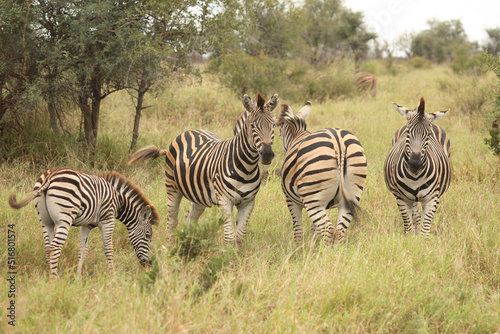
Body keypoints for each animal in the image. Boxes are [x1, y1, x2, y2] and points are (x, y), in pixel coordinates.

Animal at [8, 167, 159, 276]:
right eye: (148, 235)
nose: (150, 264)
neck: (119, 201)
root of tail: (50, 174)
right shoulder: (108, 219)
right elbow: (108, 248)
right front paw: (113, 276)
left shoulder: (87, 225)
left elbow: (83, 250)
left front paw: (78, 276)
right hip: (64, 219)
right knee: (55, 248)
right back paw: (54, 280)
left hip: (45, 221)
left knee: (48, 248)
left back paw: (48, 276)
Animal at [129, 92, 278, 244]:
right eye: (252, 126)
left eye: (274, 125)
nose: (267, 154)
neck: (247, 168)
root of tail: (189, 130)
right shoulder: (225, 200)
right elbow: (229, 236)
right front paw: (228, 251)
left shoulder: (248, 202)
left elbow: (239, 236)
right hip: (172, 187)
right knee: (172, 221)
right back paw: (170, 245)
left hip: (199, 194)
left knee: (190, 217)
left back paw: (189, 242)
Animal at [278, 100, 368, 244]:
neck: (298, 135)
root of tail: (339, 143)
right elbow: (314, 230)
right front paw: (313, 245)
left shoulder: (291, 200)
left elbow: (298, 230)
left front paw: (299, 248)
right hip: (351, 195)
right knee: (339, 230)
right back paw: (336, 250)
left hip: (313, 200)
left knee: (329, 229)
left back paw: (326, 250)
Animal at [382, 96, 454, 235]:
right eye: (408, 132)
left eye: (429, 134)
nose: (414, 164)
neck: (415, 177)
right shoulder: (402, 198)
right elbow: (409, 227)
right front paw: (411, 238)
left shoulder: (432, 199)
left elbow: (425, 230)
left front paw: (422, 240)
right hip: (411, 199)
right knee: (414, 215)